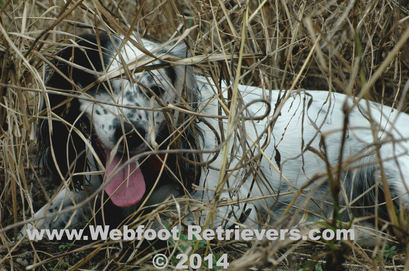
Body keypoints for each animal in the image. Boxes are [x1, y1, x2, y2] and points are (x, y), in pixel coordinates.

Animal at [23, 34, 408, 244]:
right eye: (99, 84)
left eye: (154, 90)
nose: (131, 135)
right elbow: (51, 209)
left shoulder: (228, 213)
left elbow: (162, 219)